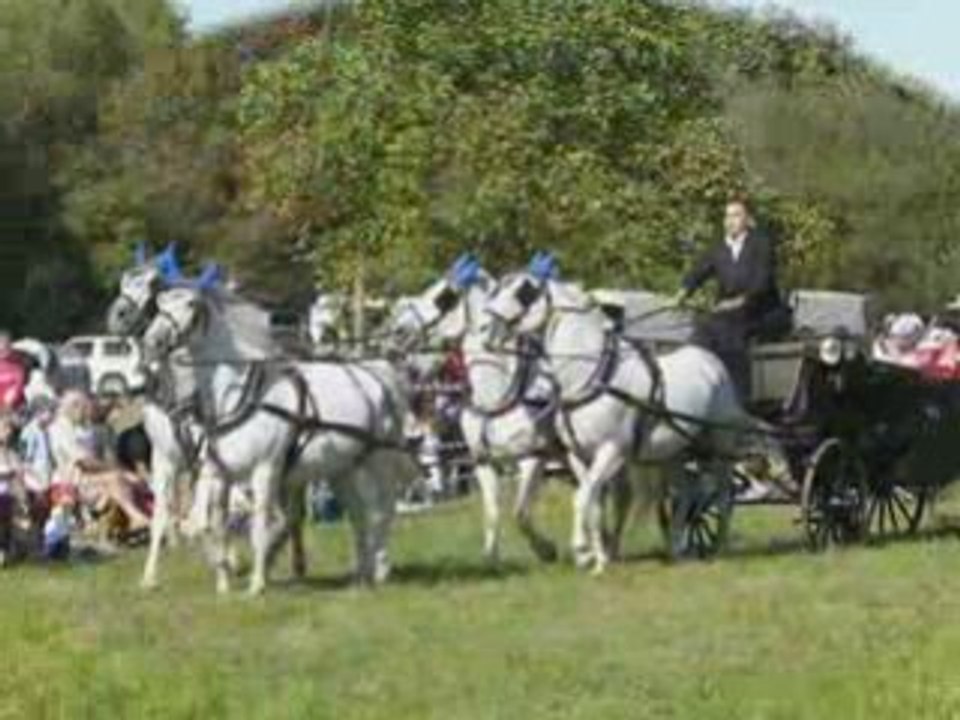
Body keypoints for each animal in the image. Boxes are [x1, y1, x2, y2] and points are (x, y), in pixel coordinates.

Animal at [142, 278, 417, 594]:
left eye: (190, 305)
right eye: (160, 304)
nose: (152, 341)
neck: (240, 395)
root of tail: (377, 373)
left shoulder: (265, 469)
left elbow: (260, 524)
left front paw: (257, 583)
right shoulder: (217, 472)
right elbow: (206, 525)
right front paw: (224, 578)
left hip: (378, 461)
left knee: (381, 510)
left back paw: (380, 570)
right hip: (344, 468)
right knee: (359, 515)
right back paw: (361, 575)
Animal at [484, 254, 784, 573]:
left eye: (525, 292)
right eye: (499, 288)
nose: (488, 331)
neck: (594, 377)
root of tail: (713, 362)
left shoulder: (611, 452)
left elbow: (582, 498)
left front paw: (583, 552)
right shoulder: (579, 456)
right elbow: (592, 501)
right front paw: (600, 558)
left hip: (718, 445)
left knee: (724, 494)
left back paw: (717, 549)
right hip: (676, 452)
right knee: (687, 494)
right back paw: (678, 549)